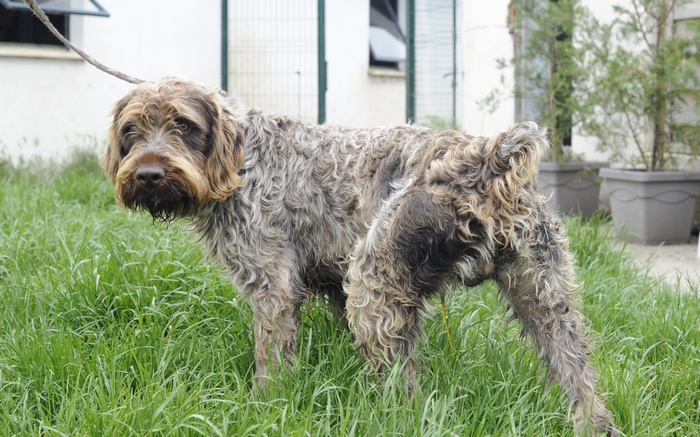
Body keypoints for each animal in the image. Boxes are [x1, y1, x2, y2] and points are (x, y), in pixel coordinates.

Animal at [101, 77, 616, 432]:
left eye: (183, 126)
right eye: (131, 130)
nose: (148, 174)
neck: (243, 162)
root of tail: (489, 157)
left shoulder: (273, 287)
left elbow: (271, 358)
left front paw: (265, 405)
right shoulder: (328, 281)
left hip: (374, 281)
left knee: (403, 389)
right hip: (546, 298)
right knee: (580, 377)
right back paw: (595, 423)